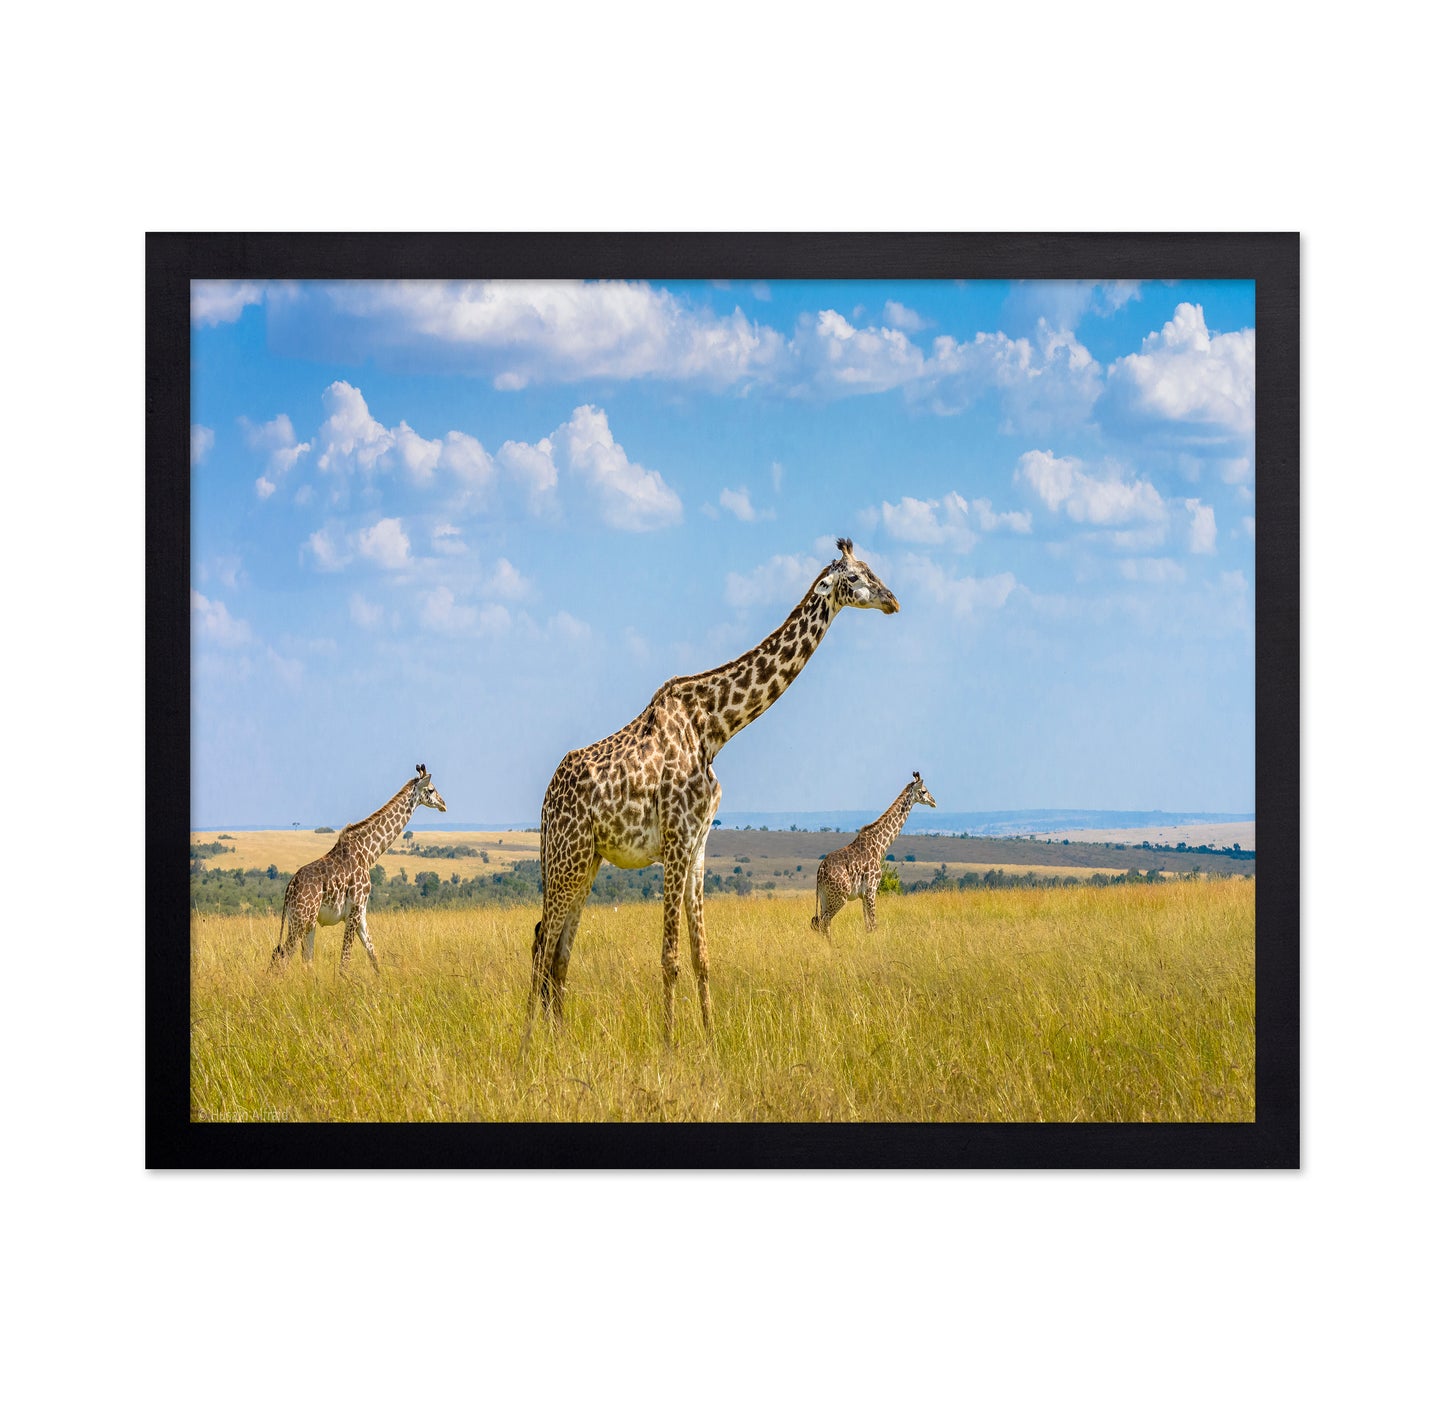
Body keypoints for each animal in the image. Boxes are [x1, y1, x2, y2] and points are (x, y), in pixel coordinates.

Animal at [269, 764, 447, 974]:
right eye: (431, 789)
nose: (444, 804)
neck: (368, 853)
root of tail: (289, 889)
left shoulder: (361, 913)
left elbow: (373, 955)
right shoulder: (353, 911)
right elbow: (345, 962)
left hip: (306, 922)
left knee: (304, 961)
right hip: (301, 919)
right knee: (282, 959)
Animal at [526, 538, 900, 1047]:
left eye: (871, 569)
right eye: (857, 577)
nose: (892, 600)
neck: (714, 728)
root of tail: (546, 798)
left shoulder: (699, 845)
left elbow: (701, 956)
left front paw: (710, 1038)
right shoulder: (675, 842)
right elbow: (669, 957)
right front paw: (668, 1045)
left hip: (586, 861)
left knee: (558, 951)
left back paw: (559, 1040)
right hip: (567, 858)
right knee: (542, 945)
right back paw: (528, 1045)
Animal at [811, 771, 937, 938]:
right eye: (923, 791)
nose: (934, 802)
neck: (880, 845)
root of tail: (820, 871)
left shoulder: (864, 894)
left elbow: (868, 925)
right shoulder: (871, 888)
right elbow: (874, 924)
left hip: (825, 896)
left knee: (821, 922)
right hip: (840, 896)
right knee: (824, 921)